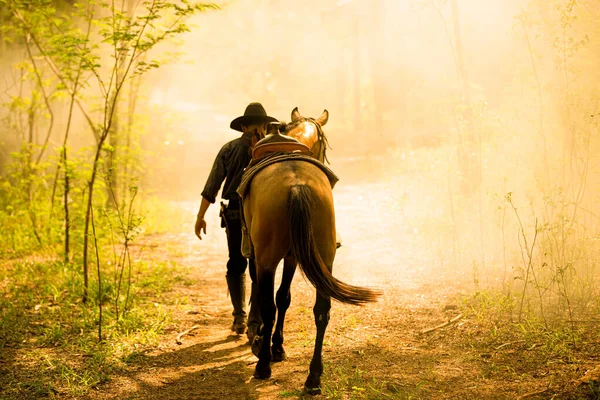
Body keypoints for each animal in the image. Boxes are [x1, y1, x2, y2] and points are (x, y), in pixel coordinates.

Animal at [239, 108, 380, 392]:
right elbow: (285, 298)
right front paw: (277, 346)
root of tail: (297, 185)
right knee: (321, 311)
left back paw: (263, 366)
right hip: (323, 256)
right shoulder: (294, 256)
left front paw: (268, 346)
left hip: (268, 258)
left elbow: (270, 298)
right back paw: (313, 376)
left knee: (270, 305)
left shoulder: (261, 256)